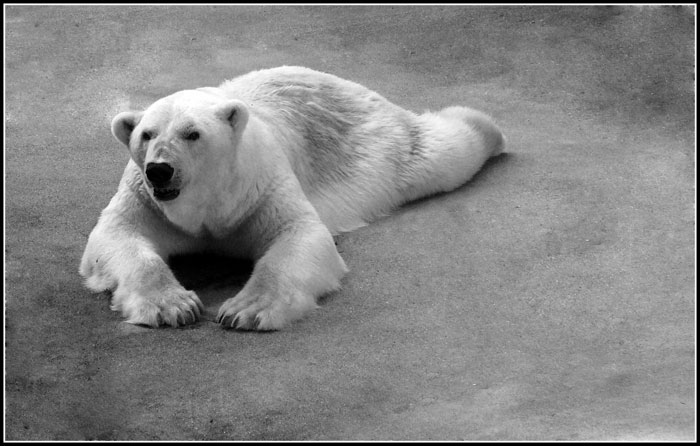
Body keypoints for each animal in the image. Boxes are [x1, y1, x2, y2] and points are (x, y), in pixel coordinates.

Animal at [79, 66, 505, 331]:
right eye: (146, 134)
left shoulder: (260, 188)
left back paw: (487, 129)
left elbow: (298, 235)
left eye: (192, 133)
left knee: (440, 152)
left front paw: (246, 310)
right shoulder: (146, 199)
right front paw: (174, 306)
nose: (160, 169)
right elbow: (116, 236)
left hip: (379, 145)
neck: (209, 201)